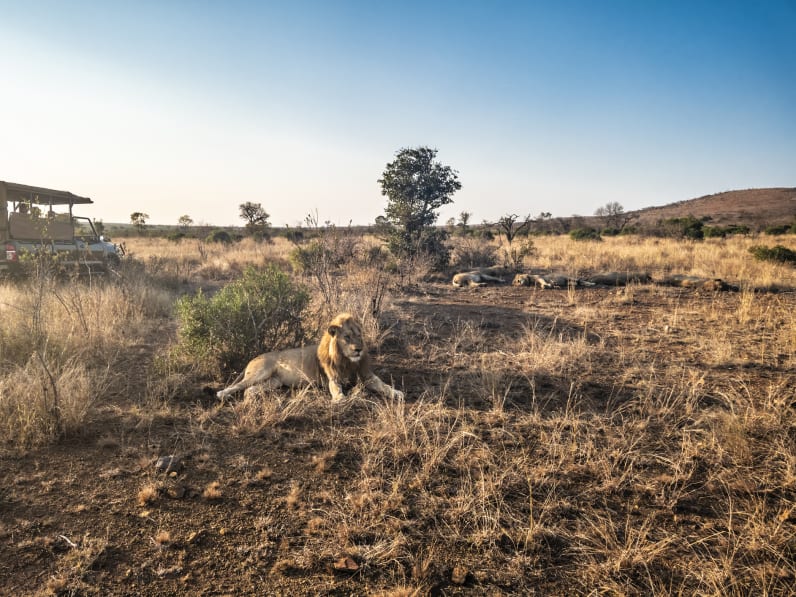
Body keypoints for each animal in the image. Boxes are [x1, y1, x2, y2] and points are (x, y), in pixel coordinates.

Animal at [216, 313, 403, 402]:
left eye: (359, 336)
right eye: (347, 337)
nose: (358, 349)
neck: (347, 361)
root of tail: (253, 359)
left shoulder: (367, 376)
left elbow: (383, 385)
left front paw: (396, 393)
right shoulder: (333, 378)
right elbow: (336, 388)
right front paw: (340, 398)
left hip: (273, 381)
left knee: (249, 390)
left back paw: (253, 397)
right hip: (261, 372)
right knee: (237, 386)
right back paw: (222, 395)